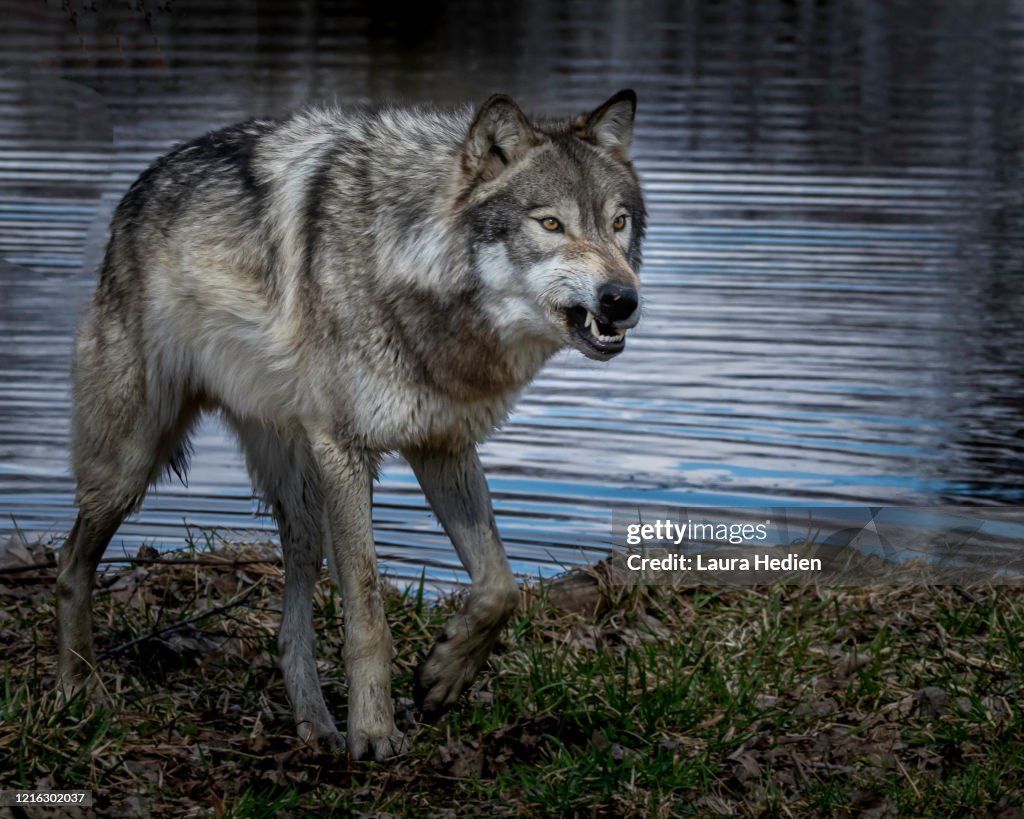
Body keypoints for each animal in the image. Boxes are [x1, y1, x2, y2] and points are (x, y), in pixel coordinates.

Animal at [56, 89, 646, 760]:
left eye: (617, 223)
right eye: (550, 224)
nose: (622, 299)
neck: (412, 267)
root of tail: (139, 188)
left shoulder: (442, 444)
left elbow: (500, 585)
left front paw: (442, 677)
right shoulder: (345, 448)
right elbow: (366, 609)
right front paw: (375, 733)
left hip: (301, 498)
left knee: (292, 624)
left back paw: (314, 725)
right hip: (132, 460)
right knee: (71, 564)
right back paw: (77, 688)